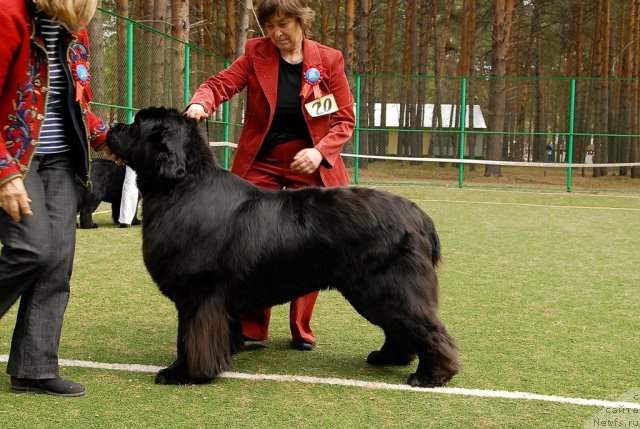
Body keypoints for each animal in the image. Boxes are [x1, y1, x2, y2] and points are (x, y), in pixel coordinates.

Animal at [109, 107, 460, 388]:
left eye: (136, 124)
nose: (112, 126)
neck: (182, 186)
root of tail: (421, 218)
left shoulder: (198, 295)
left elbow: (189, 338)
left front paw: (182, 373)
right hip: (378, 290)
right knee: (400, 327)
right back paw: (388, 358)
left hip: (387, 286)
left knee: (427, 329)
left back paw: (431, 375)